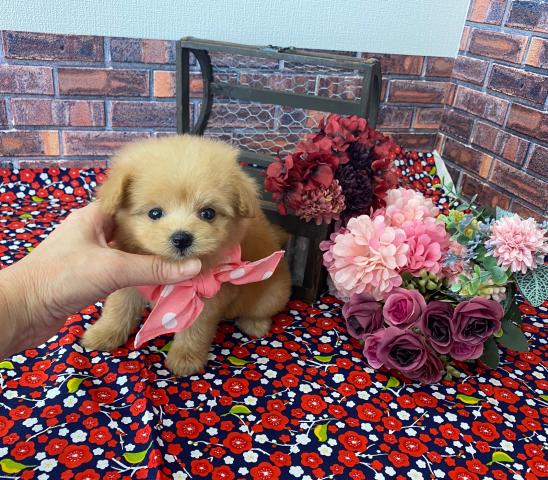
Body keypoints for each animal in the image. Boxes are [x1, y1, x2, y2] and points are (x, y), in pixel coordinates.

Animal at [81, 135, 291, 376]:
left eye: (208, 213)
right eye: (155, 213)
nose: (181, 238)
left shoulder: (206, 298)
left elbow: (194, 331)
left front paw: (185, 359)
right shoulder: (129, 280)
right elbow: (118, 308)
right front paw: (102, 334)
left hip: (271, 295)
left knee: (262, 310)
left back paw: (254, 324)